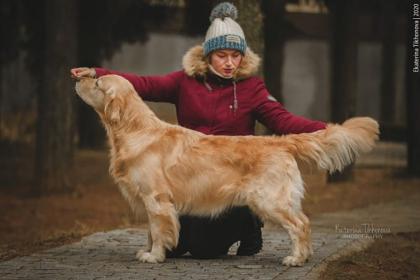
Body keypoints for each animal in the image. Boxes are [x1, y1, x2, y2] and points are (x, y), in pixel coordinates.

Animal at [74, 74, 378, 266]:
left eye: (97, 82)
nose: (77, 77)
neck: (133, 130)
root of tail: (280, 141)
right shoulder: (154, 202)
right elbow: (150, 231)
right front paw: (148, 251)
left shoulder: (156, 198)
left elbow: (158, 230)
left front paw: (155, 256)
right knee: (304, 222)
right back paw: (304, 255)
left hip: (269, 199)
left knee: (300, 224)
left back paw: (295, 259)